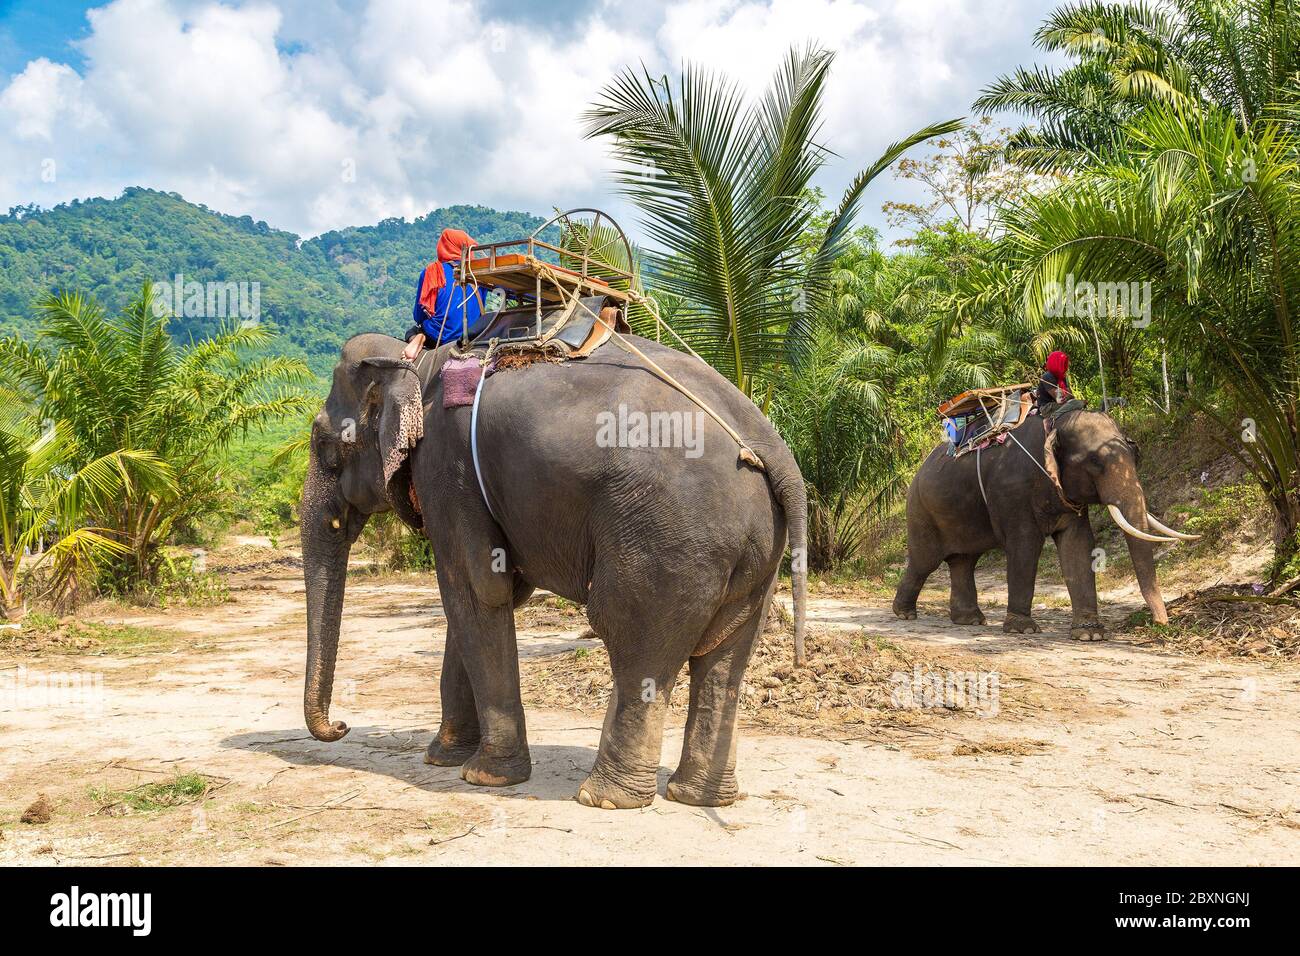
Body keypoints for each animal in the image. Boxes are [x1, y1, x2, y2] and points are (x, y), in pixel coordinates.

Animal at [300, 332, 808, 809]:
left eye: (323, 444)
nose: (341, 725)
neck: (420, 361)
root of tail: (772, 448)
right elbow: (482, 596)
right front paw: (443, 758)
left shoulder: (447, 469)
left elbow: (475, 589)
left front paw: (485, 776)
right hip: (756, 550)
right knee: (727, 659)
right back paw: (700, 797)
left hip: (669, 539)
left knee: (631, 637)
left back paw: (605, 798)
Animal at [892, 407, 1195, 639]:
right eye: (1095, 461)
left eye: (1136, 455)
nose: (1161, 623)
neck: (1056, 422)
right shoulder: (1012, 492)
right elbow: (1025, 546)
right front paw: (1022, 630)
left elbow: (1078, 546)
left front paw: (1089, 634)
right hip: (920, 511)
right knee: (925, 561)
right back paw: (904, 614)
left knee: (964, 561)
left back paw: (970, 620)